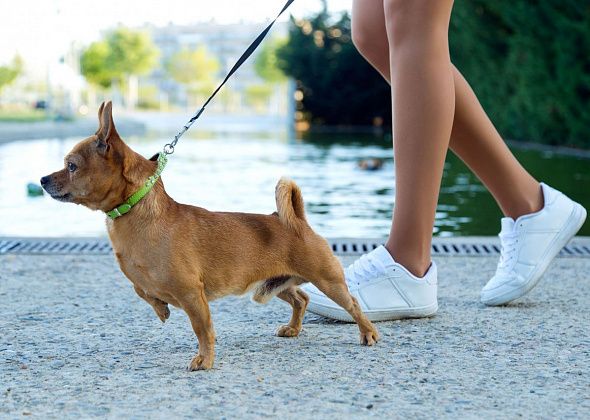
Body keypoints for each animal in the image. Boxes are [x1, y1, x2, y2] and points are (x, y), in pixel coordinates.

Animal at [40, 102, 380, 370]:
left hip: (327, 280)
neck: (134, 211)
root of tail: (296, 220)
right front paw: (161, 308)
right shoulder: (143, 279)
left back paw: (368, 333)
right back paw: (294, 329)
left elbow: (202, 329)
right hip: (273, 284)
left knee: (351, 303)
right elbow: (142, 289)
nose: (42, 179)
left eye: (71, 166)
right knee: (301, 297)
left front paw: (204, 360)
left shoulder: (192, 294)